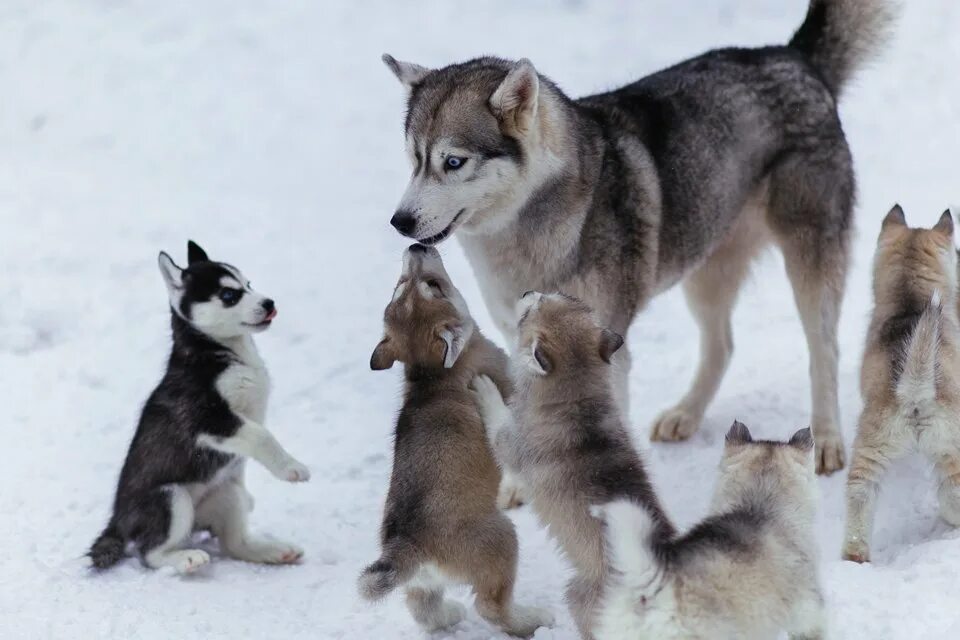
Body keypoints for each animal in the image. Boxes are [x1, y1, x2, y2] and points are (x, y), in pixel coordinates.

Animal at [88, 241, 310, 576]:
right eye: (229, 295)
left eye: (248, 283)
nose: (269, 302)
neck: (221, 349)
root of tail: (117, 520)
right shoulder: (207, 417)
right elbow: (262, 436)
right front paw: (291, 468)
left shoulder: (248, 412)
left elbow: (258, 434)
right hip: (171, 498)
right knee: (150, 552)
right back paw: (185, 558)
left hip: (224, 494)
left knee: (234, 543)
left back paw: (271, 551)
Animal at [356, 244, 552, 636]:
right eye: (434, 286)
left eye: (401, 286)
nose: (416, 246)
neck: (431, 373)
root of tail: (408, 545)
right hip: (502, 537)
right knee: (492, 607)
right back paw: (533, 620)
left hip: (422, 584)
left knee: (423, 608)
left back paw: (449, 616)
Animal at [386, 0, 896, 476]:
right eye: (413, 159)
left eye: (453, 162)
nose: (400, 222)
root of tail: (792, 57)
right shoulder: (520, 335)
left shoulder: (603, 343)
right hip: (704, 263)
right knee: (722, 345)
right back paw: (685, 414)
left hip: (808, 258)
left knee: (823, 349)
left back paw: (827, 439)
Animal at [474, 292, 676, 636]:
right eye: (567, 296)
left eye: (527, 314)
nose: (526, 292)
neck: (578, 401)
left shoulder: (511, 443)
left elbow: (497, 419)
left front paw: (485, 390)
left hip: (577, 595)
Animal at [840, 208, 960, 564]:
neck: (910, 302)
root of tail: (915, 391)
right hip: (947, 443)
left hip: (875, 446)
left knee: (860, 498)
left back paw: (855, 556)